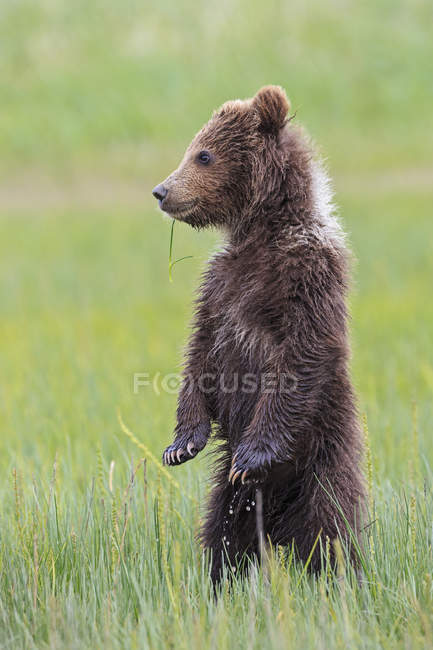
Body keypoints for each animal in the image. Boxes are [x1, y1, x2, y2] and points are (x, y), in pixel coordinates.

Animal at [152, 85, 364, 584]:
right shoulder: (220, 286)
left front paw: (253, 455)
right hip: (236, 496)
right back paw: (220, 579)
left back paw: (336, 578)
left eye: (204, 154)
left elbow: (300, 356)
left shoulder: (306, 278)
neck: (263, 233)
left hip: (324, 452)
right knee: (225, 531)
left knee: (329, 526)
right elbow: (200, 353)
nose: (162, 191)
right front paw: (180, 444)